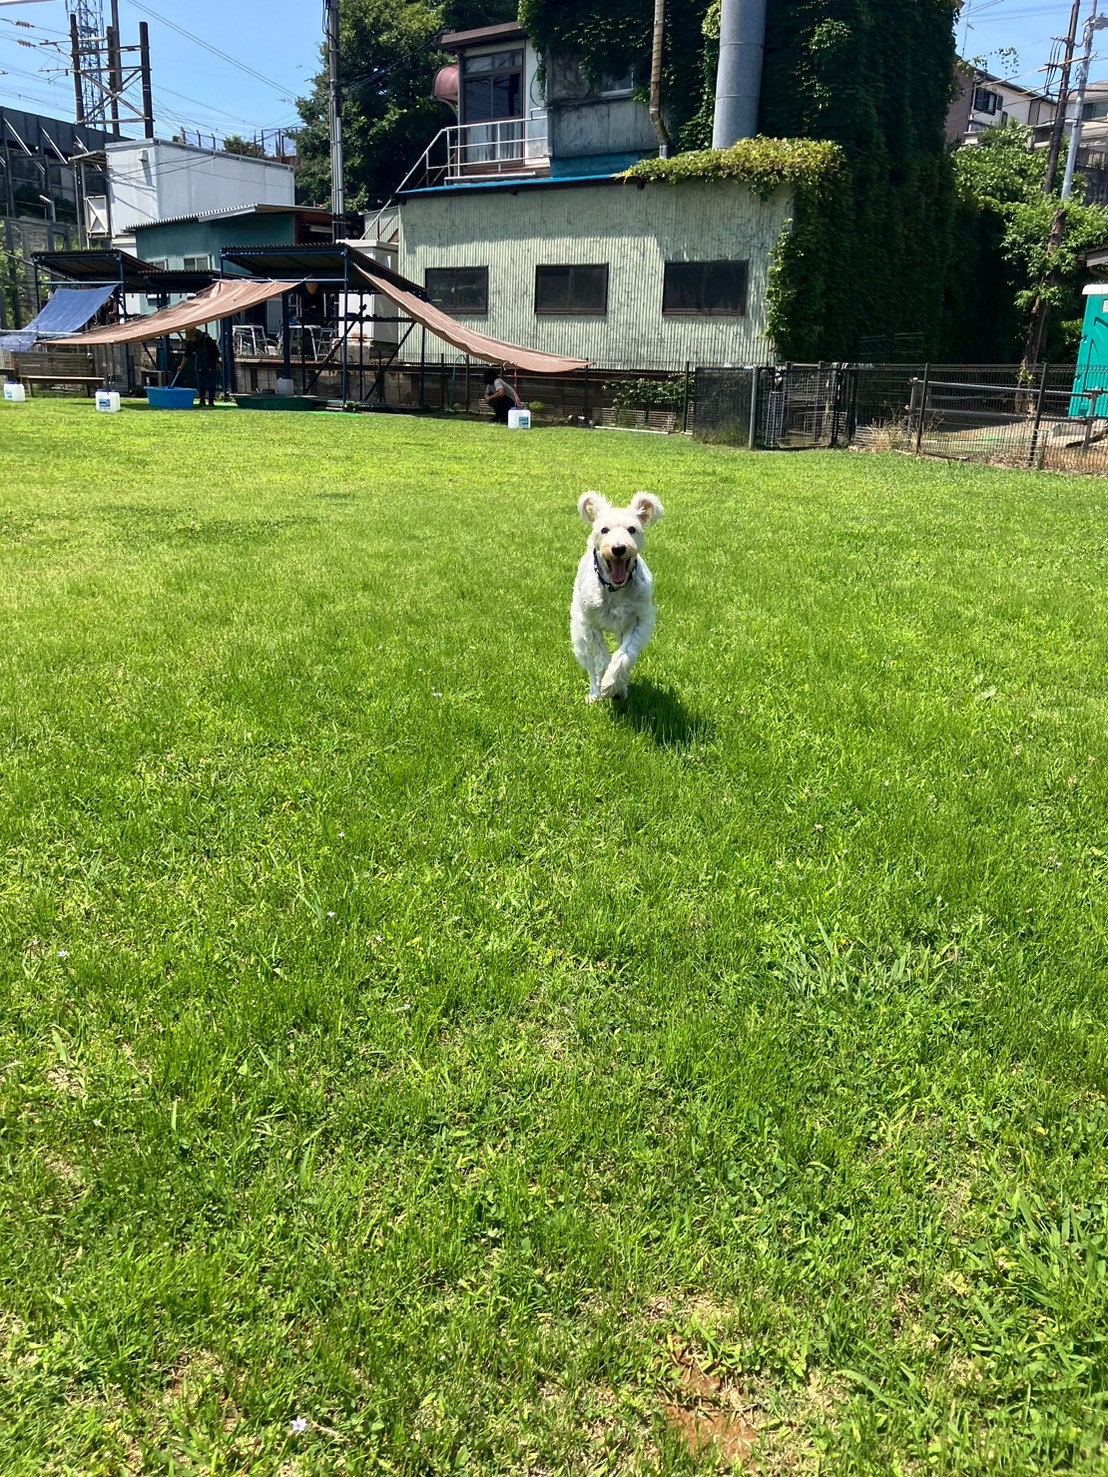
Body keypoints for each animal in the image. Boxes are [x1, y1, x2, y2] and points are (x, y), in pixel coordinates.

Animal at [570, 491, 665, 702]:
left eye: (632, 529)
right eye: (604, 530)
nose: (619, 548)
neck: (616, 589)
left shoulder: (641, 620)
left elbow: (625, 654)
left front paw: (613, 684)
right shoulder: (589, 624)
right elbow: (601, 657)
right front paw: (605, 685)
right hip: (579, 639)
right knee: (590, 668)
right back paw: (595, 693)